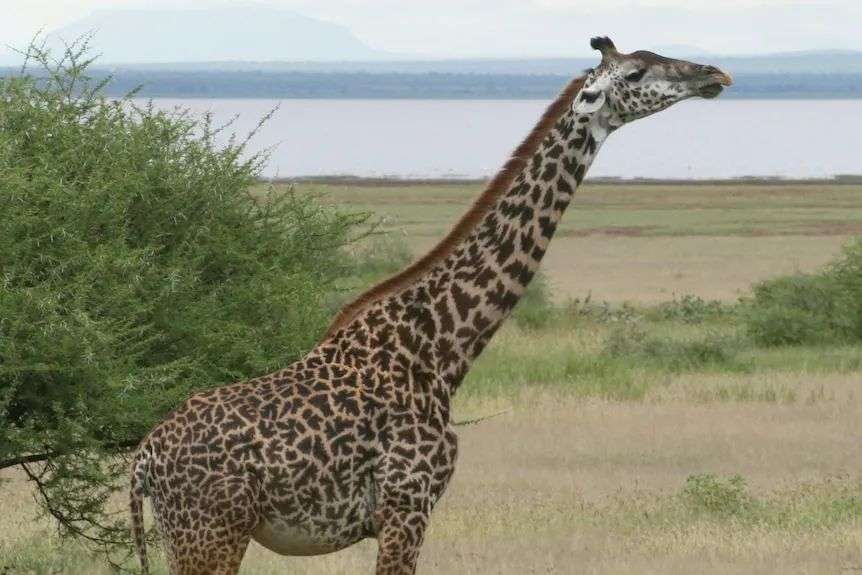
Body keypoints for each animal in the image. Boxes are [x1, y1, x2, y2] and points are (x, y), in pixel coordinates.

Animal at [129, 37, 732, 575]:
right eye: (634, 73)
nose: (715, 74)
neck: (442, 348)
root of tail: (143, 460)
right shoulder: (406, 506)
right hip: (210, 533)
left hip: (192, 536)